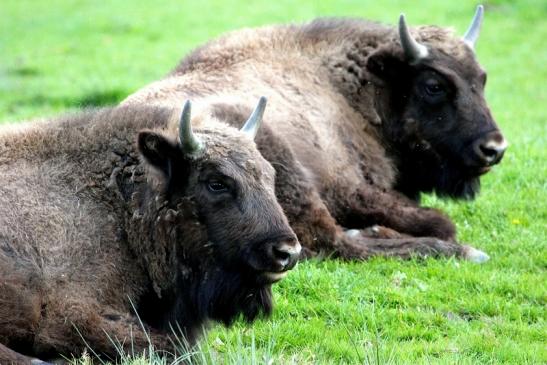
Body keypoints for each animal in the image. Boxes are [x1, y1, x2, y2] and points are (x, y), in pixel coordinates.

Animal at [0, 98, 300, 362]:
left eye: (270, 175)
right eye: (217, 183)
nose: (288, 252)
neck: (121, 204)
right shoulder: (72, 313)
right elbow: (172, 348)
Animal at [124, 6, 506, 262]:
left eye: (482, 78)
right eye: (434, 85)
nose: (494, 148)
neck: (350, 88)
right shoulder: (350, 189)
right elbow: (439, 220)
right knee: (331, 241)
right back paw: (462, 251)